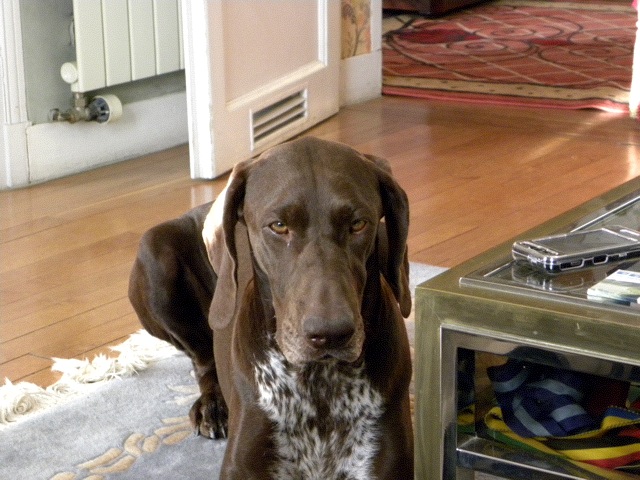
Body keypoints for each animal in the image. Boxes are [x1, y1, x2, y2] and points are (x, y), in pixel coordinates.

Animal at [129, 137, 414, 479]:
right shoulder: (243, 465)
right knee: (202, 360)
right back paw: (212, 405)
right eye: (278, 226)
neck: (321, 385)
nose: (331, 334)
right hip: (155, 251)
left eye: (358, 224)